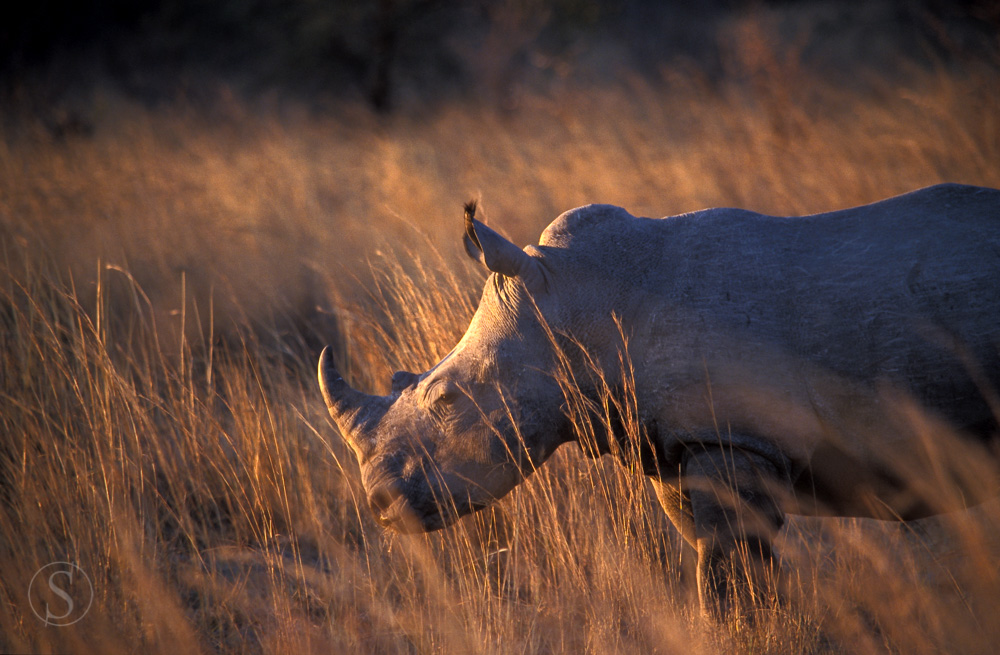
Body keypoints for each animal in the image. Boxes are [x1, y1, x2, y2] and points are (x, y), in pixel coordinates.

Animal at [319, 183, 1000, 617]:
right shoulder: (674, 447)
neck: (580, 302)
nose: (380, 505)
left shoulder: (731, 438)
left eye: (446, 399)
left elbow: (731, 583)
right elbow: (723, 578)